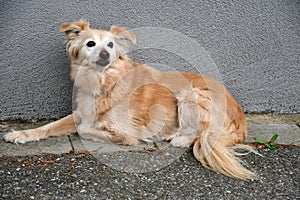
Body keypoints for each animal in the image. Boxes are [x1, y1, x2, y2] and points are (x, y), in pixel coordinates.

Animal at [4, 20, 258, 180]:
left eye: (110, 44)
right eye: (90, 43)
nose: (105, 54)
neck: (105, 80)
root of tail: (240, 116)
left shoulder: (126, 133)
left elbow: (85, 129)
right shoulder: (82, 112)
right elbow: (49, 126)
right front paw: (20, 134)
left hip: (190, 94)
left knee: (202, 134)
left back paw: (178, 138)